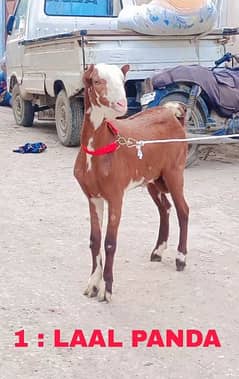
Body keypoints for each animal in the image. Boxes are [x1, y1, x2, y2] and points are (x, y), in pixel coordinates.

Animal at [74, 63, 190, 302]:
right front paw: (92, 284)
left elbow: (110, 242)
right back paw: (158, 251)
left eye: (122, 80)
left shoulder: (115, 195)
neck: (100, 149)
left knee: (183, 210)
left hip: (174, 172)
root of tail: (172, 113)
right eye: (97, 80)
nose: (122, 104)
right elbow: (94, 239)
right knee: (165, 208)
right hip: (153, 178)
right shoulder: (93, 197)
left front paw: (106, 290)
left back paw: (180, 258)